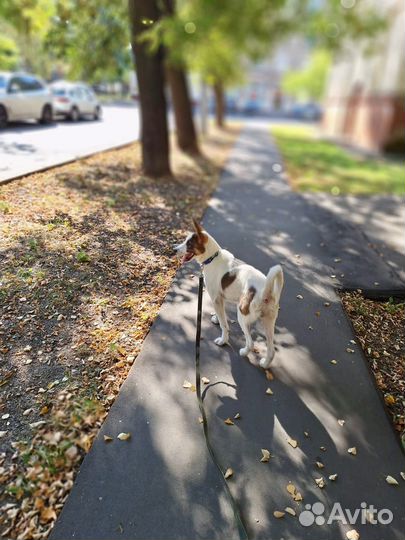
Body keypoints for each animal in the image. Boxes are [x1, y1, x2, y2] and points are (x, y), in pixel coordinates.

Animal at [174, 218, 284, 368]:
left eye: (189, 244)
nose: (174, 249)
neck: (212, 257)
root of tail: (265, 292)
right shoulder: (221, 298)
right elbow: (222, 316)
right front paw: (216, 317)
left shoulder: (215, 299)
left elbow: (224, 324)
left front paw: (223, 340)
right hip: (269, 321)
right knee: (271, 350)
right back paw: (265, 364)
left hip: (242, 316)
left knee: (251, 342)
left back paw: (244, 352)